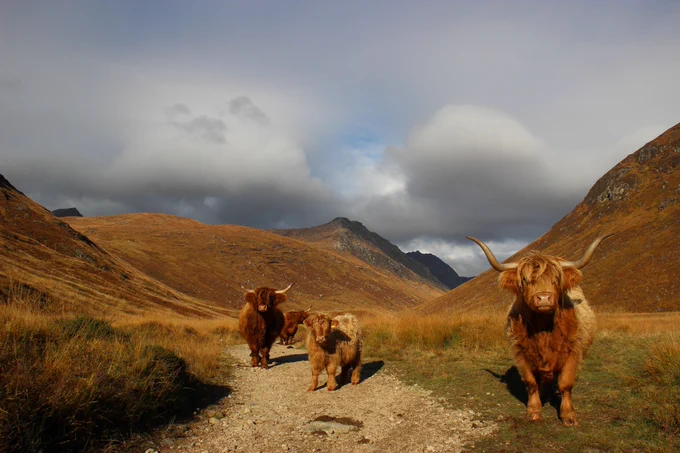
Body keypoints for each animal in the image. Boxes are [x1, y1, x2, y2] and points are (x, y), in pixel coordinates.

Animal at [467, 235, 610, 426]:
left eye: (556, 279)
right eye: (526, 280)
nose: (544, 298)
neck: (544, 329)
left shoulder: (573, 351)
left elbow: (566, 384)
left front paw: (568, 416)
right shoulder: (521, 353)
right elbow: (531, 383)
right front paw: (534, 411)